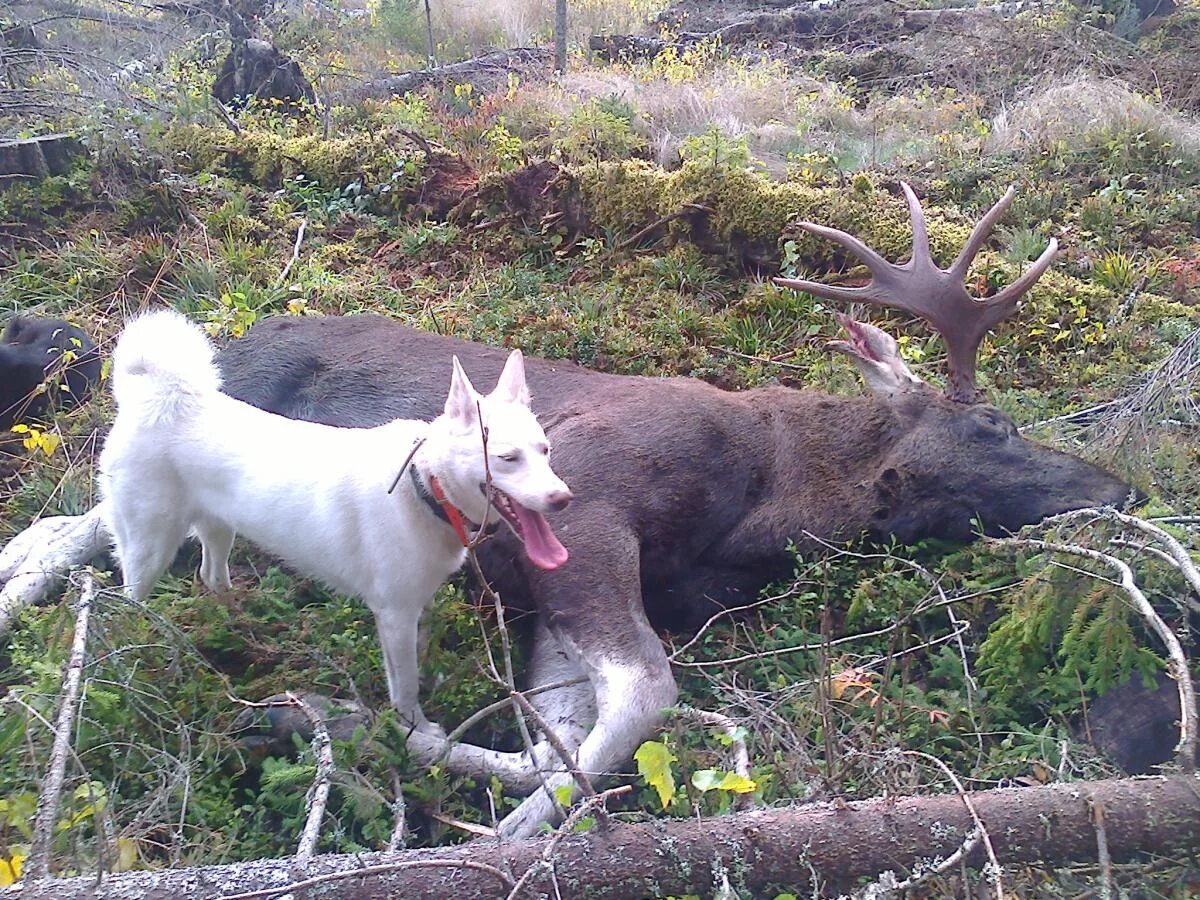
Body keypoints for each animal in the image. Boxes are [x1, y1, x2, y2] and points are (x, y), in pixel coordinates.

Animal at [99, 309, 571, 734]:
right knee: (127, 603)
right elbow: (405, 687)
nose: (563, 499)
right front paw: (415, 729)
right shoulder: (394, 615)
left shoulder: (416, 608)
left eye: (545, 450)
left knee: (211, 575)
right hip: (149, 549)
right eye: (507, 459)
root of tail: (158, 398)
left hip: (219, 527)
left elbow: (417, 661)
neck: (422, 485)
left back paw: (237, 624)